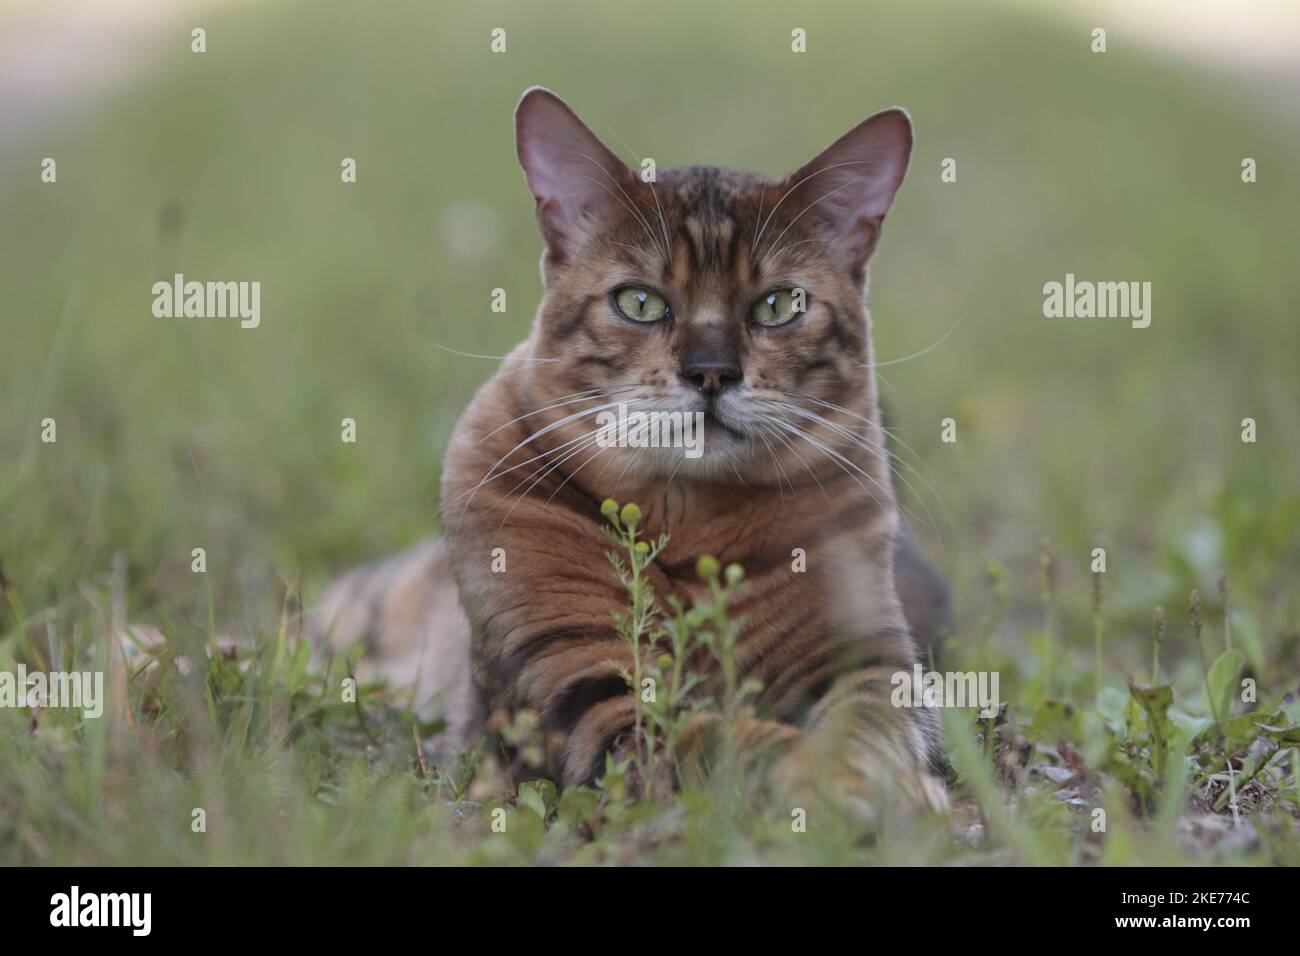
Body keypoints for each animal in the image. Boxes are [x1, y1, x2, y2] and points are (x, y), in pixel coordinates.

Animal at [310, 85, 951, 811]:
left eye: (779, 305)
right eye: (639, 302)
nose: (711, 372)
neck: (692, 525)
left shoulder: (865, 658)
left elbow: (864, 723)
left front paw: (871, 777)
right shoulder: (584, 687)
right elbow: (726, 742)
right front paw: (839, 784)